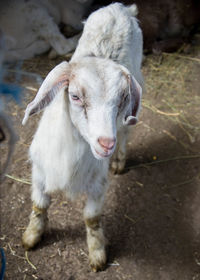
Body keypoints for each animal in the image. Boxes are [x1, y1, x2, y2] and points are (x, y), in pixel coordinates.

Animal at [21, 2, 143, 272]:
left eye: (122, 99)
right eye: (75, 96)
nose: (106, 144)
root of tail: (120, 8)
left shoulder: (98, 183)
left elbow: (92, 218)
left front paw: (97, 254)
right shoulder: (39, 172)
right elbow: (39, 205)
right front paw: (31, 237)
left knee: (126, 131)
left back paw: (119, 161)